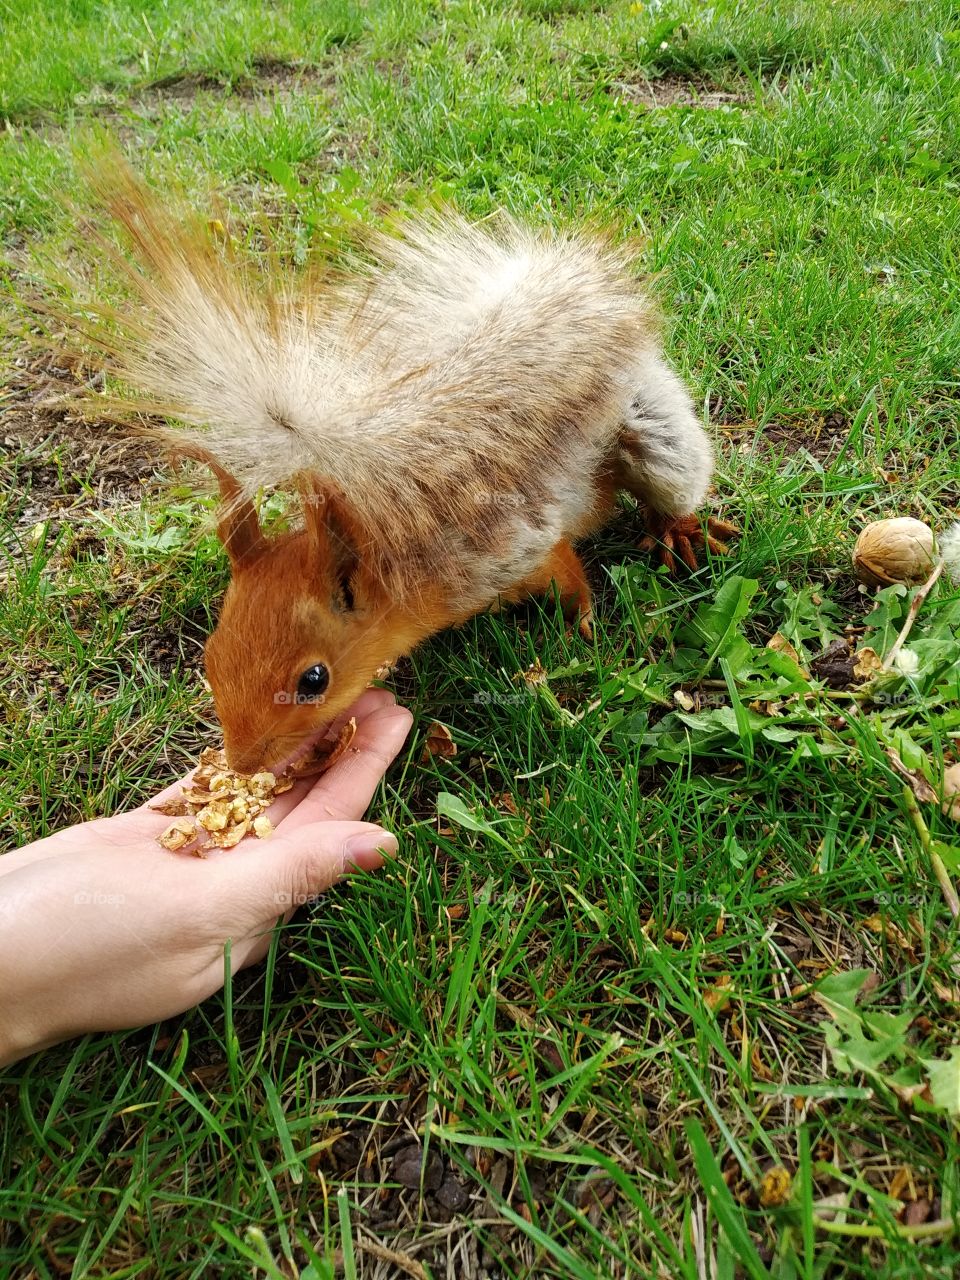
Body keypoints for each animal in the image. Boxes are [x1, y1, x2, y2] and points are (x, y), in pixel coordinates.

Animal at [46, 158, 737, 774]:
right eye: (211, 656)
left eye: (314, 679)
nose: (241, 765)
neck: (403, 566)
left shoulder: (522, 547)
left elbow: (569, 573)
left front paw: (581, 628)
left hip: (655, 437)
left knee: (667, 482)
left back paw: (677, 530)